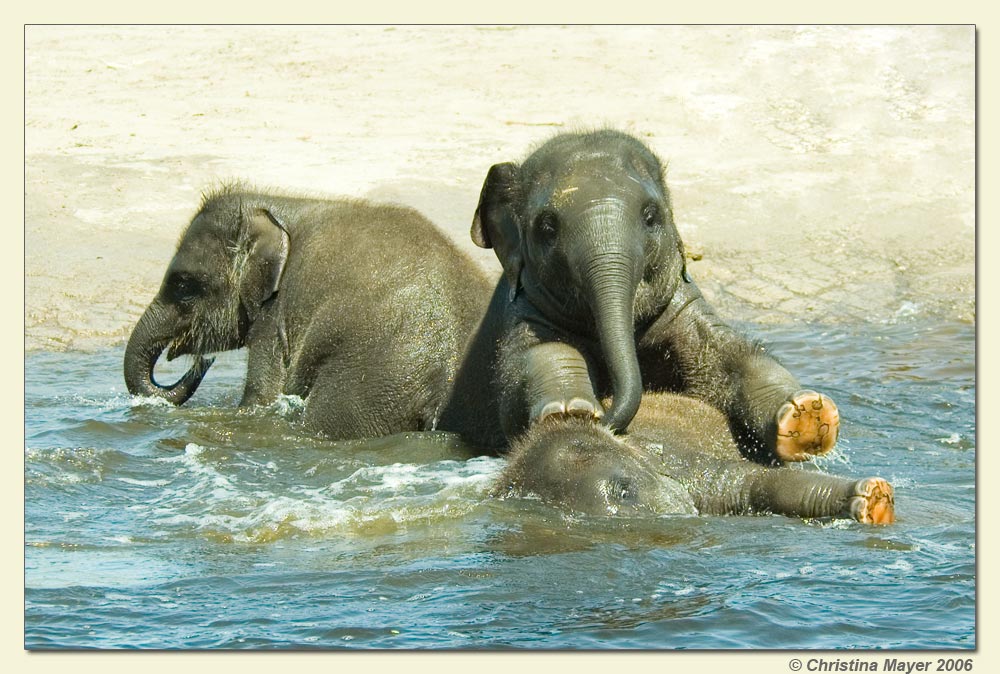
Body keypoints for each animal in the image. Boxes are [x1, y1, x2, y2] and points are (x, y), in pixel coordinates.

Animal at [123, 184, 494, 438]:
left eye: (183, 285)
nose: (203, 363)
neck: (274, 204)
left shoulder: (276, 316)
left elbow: (261, 399)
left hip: (367, 389)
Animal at [464, 131, 840, 464]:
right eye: (547, 227)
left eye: (650, 216)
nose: (608, 420)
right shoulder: (522, 313)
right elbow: (533, 361)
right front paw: (570, 410)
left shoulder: (683, 308)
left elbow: (728, 355)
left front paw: (807, 415)